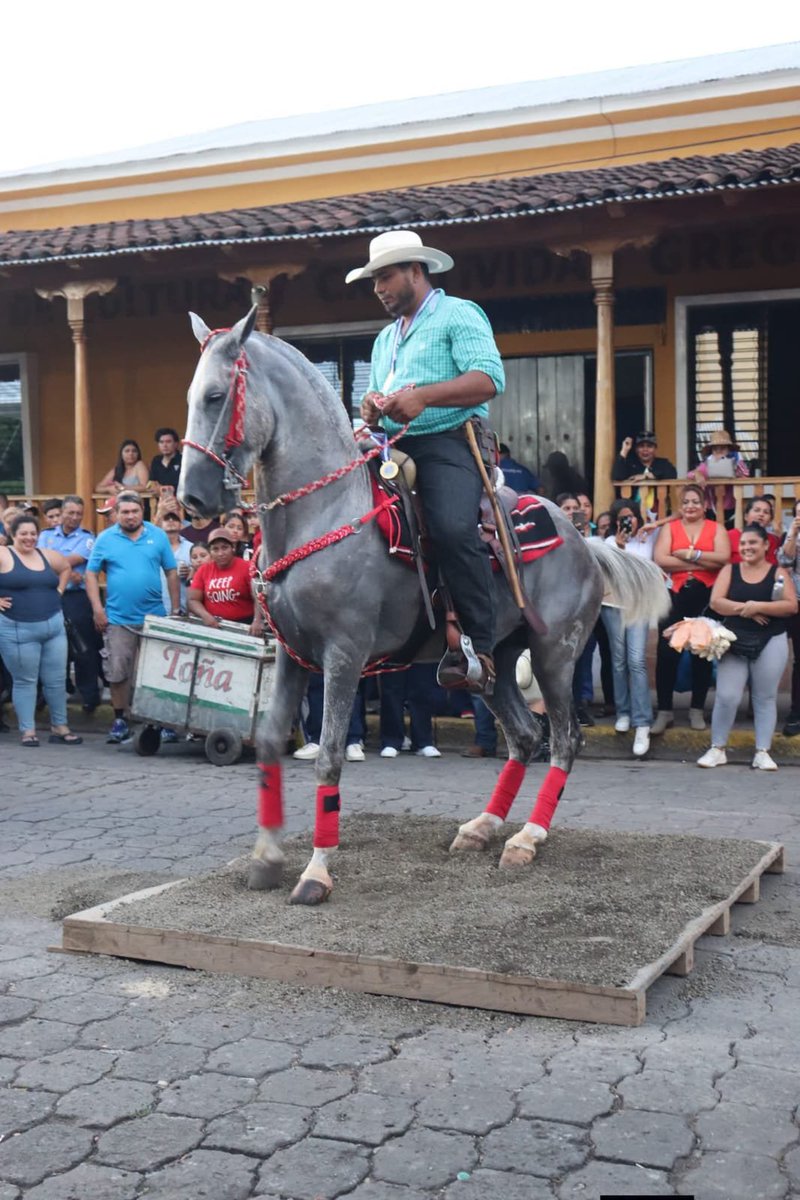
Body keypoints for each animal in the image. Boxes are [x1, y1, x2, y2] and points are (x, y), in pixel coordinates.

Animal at [178, 307, 670, 905]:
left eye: (215, 396)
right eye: (191, 395)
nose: (192, 497)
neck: (326, 512)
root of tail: (583, 540)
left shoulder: (344, 655)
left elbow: (330, 754)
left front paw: (316, 872)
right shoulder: (294, 654)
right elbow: (271, 741)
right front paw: (267, 857)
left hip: (556, 653)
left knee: (563, 739)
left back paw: (526, 837)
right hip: (494, 663)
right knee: (524, 736)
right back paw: (482, 827)